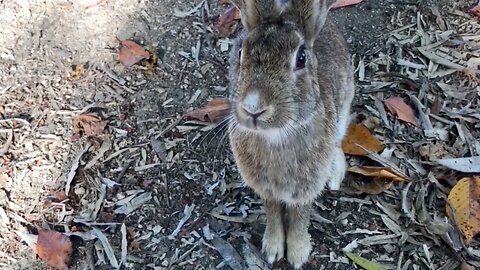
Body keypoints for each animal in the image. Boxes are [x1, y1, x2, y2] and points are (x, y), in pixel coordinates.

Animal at [225, 0, 352, 268]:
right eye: (240, 54)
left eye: (301, 58)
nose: (253, 108)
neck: (276, 135)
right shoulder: (266, 189)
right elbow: (273, 213)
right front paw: (272, 250)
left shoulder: (306, 187)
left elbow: (300, 216)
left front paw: (297, 254)